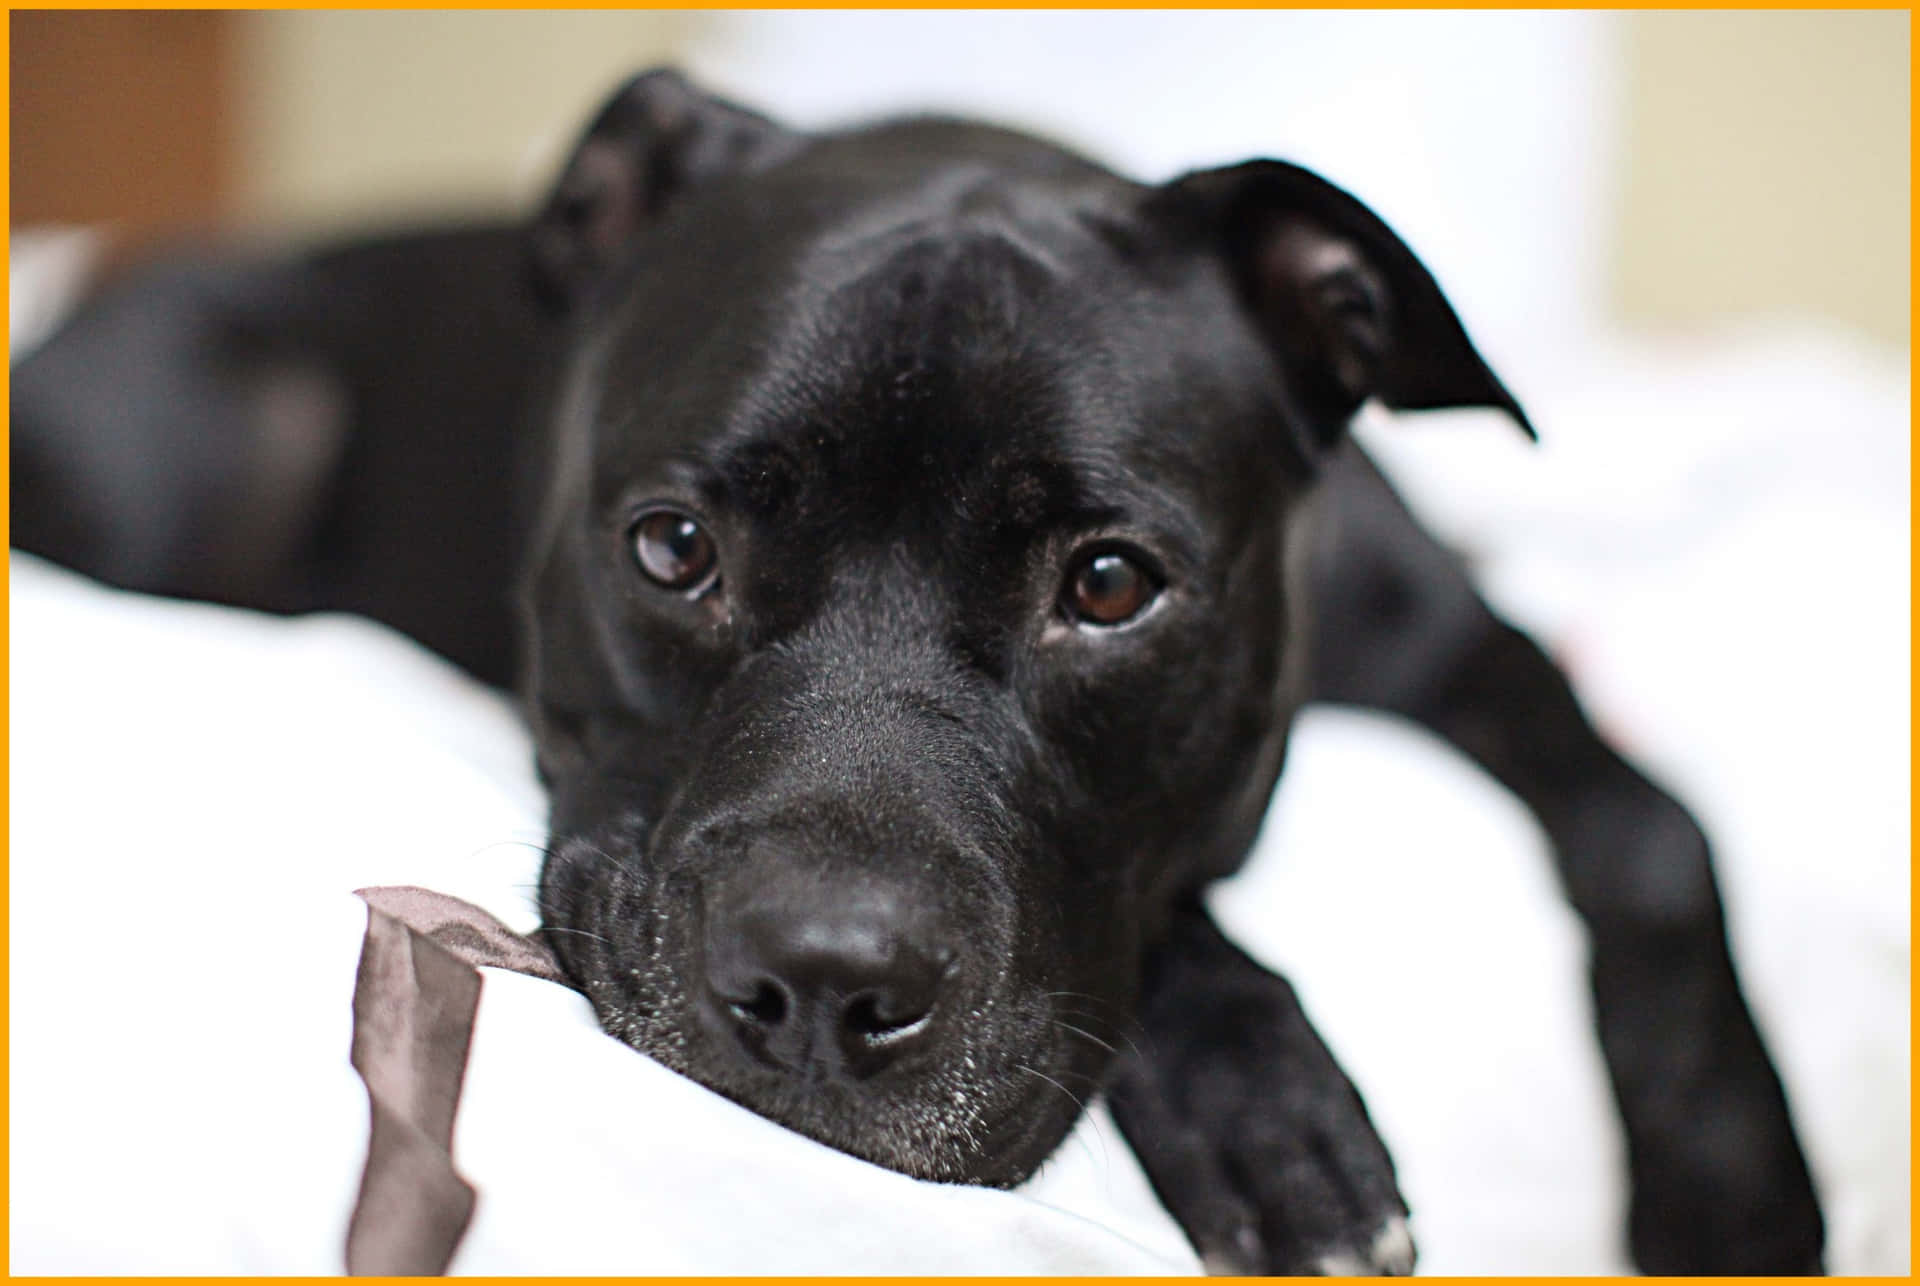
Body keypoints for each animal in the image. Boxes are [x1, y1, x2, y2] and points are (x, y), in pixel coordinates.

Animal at [11, 72, 1812, 1282]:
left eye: (1109, 586)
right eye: (672, 547)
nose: (820, 984)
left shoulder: (1463, 640)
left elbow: (1660, 830)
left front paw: (1739, 1189)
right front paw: (1265, 1103)